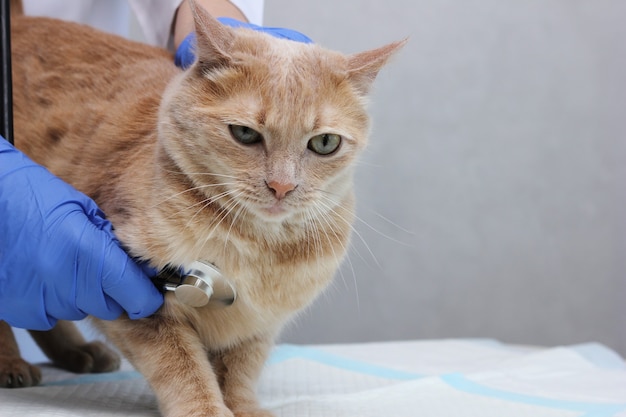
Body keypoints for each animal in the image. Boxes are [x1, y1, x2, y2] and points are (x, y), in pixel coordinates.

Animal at [2, 1, 402, 414]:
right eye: (245, 134)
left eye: (324, 143)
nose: (282, 186)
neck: (258, 250)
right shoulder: (135, 295)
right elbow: (182, 365)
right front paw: (205, 408)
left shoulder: (257, 324)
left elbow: (240, 370)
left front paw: (244, 407)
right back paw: (14, 364)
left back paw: (78, 353)